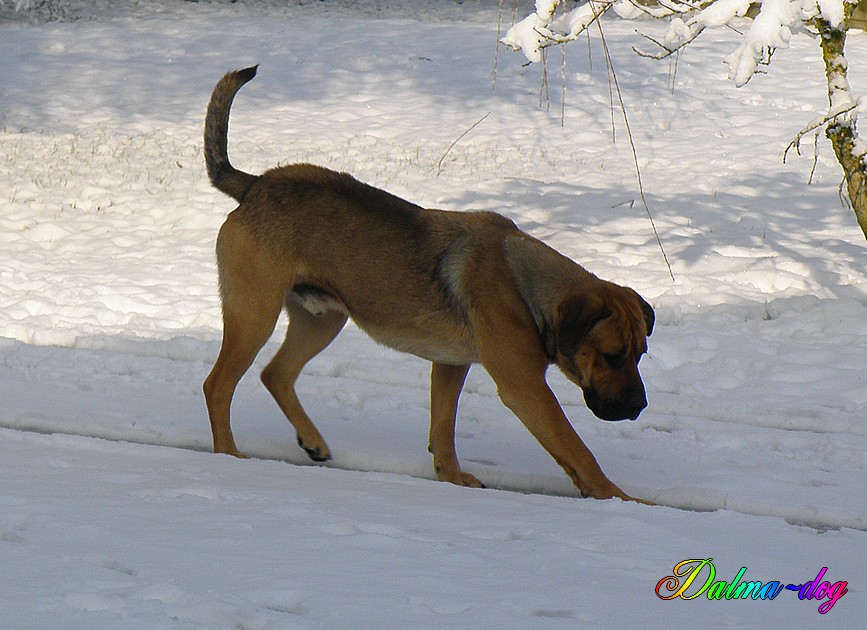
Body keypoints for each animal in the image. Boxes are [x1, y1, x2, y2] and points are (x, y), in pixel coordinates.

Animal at [202, 66, 652, 504]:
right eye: (612, 355)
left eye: (640, 354)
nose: (639, 405)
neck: (527, 288)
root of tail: (255, 185)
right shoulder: (525, 387)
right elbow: (576, 447)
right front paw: (619, 497)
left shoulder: (451, 364)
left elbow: (444, 428)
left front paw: (450, 476)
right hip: (255, 313)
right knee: (218, 385)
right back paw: (227, 455)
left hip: (321, 320)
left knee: (275, 374)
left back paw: (311, 441)